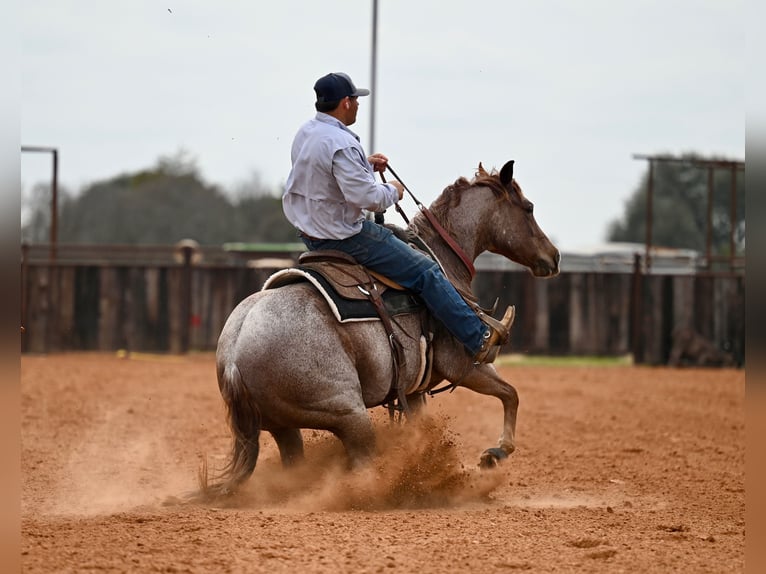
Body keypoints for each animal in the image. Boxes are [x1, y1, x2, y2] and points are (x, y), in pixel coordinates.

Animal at [205, 160, 560, 497]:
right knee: (361, 466)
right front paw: (495, 453)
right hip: (348, 414)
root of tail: (234, 355)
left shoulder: (414, 391)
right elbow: (510, 394)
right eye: (528, 207)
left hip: (284, 428)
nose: (554, 257)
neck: (442, 260)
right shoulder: (462, 365)